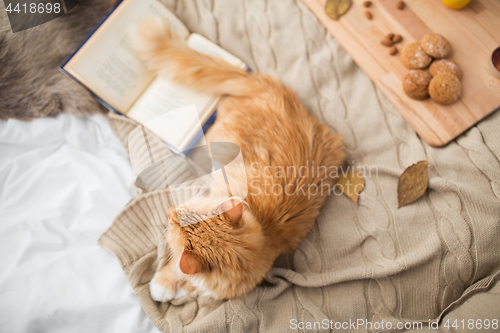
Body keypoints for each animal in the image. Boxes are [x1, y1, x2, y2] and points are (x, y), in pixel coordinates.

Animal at [131, 18, 346, 300]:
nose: (169, 211)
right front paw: (167, 285)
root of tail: (270, 88)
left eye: (175, 221)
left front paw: (169, 287)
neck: (265, 236)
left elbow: (183, 276)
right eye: (184, 212)